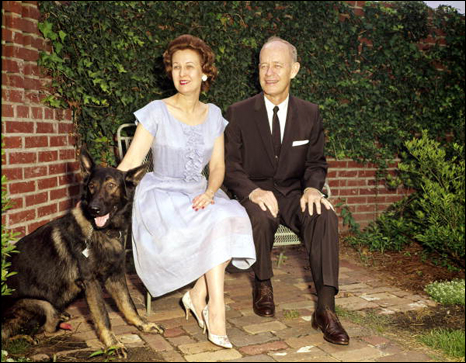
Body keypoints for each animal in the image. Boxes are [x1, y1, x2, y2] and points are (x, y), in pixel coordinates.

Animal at [1, 148, 164, 358]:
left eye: (111, 185)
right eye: (92, 186)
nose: (94, 209)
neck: (102, 232)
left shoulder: (116, 276)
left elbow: (129, 305)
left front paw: (142, 325)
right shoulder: (91, 282)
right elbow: (103, 316)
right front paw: (113, 344)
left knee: (48, 328)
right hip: (41, 305)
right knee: (9, 335)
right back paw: (25, 338)